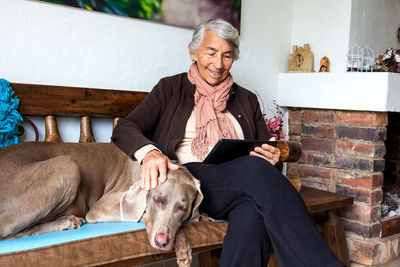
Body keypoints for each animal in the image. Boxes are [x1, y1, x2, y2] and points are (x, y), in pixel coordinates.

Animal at [0, 143, 202, 266]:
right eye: (156, 200)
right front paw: (182, 243)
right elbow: (141, 214)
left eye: (182, 208)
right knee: (7, 230)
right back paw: (66, 222)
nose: (162, 241)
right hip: (67, 164)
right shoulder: (100, 207)